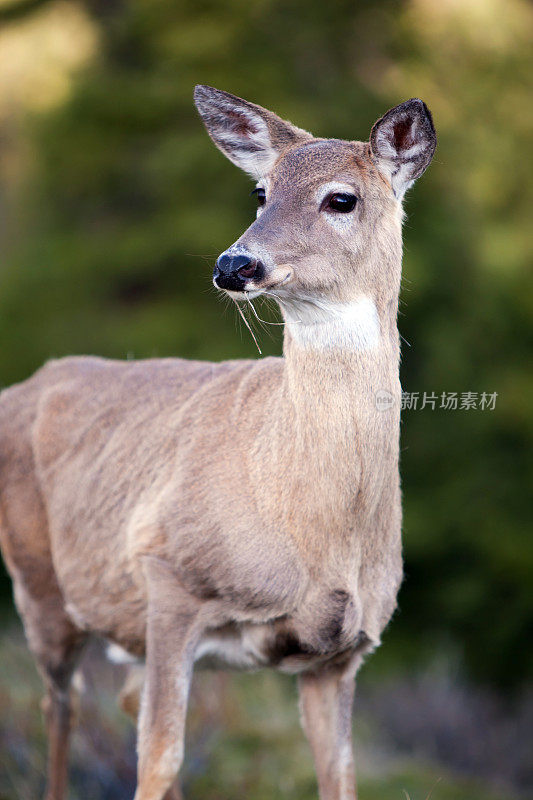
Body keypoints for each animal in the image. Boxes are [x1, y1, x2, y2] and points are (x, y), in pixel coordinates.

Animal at [0, 84, 436, 796]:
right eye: (260, 191)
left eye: (341, 199)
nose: (234, 264)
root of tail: (29, 381)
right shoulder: (167, 571)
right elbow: (159, 754)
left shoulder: (342, 653)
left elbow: (339, 775)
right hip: (38, 584)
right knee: (60, 704)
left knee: (114, 698)